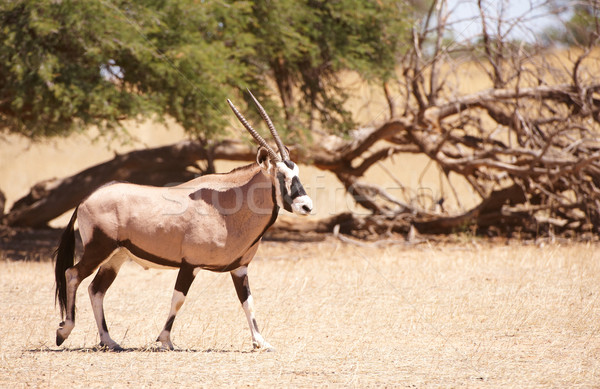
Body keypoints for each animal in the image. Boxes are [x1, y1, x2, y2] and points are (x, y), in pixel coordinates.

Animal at [53, 92, 312, 350]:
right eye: (281, 175)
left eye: (297, 172)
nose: (306, 206)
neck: (228, 206)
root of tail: (86, 199)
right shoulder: (190, 264)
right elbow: (178, 299)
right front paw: (165, 340)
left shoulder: (239, 268)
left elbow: (248, 302)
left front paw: (260, 341)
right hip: (98, 249)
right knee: (73, 274)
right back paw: (64, 331)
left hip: (116, 257)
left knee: (96, 289)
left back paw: (108, 340)